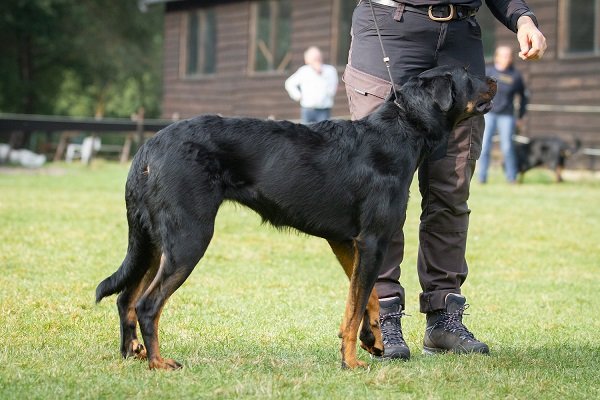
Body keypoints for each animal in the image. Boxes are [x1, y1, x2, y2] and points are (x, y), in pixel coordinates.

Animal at [95, 66, 496, 370]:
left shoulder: (347, 241)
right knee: (147, 304)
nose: (494, 78)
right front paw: (351, 362)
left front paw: (374, 342)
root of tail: (148, 147)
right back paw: (159, 362)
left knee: (126, 299)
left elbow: (363, 299)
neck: (402, 129)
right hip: (188, 238)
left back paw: (133, 353)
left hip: (154, 242)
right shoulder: (373, 240)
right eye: (467, 74)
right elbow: (356, 305)